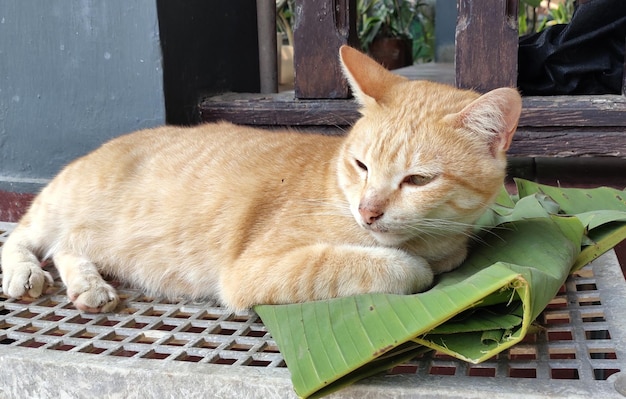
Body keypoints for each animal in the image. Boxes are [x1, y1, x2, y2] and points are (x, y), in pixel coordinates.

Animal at [0, 46, 520, 312]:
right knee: (25, 238)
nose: (368, 212)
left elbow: (448, 256)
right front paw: (409, 263)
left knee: (68, 247)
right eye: (362, 165)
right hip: (59, 205)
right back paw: (26, 272)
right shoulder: (249, 271)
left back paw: (89, 287)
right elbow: (398, 268)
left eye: (417, 180)